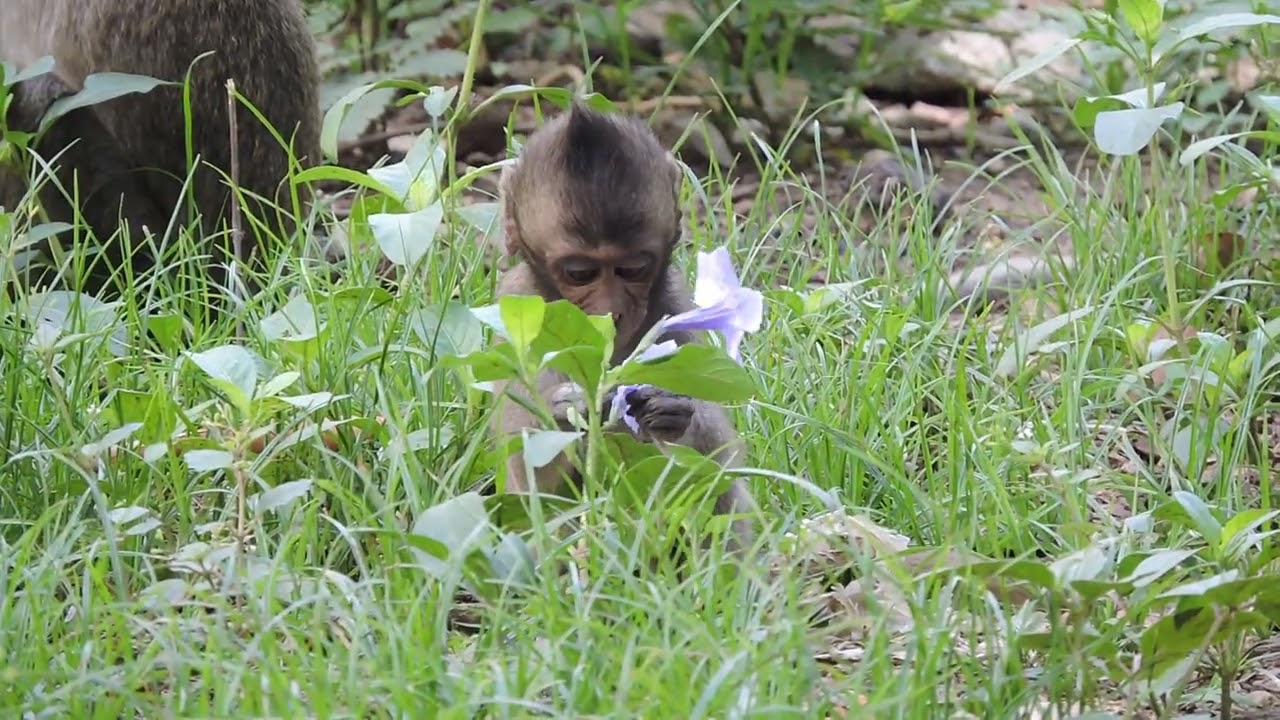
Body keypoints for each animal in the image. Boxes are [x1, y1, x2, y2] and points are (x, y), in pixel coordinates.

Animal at [490, 103, 759, 557]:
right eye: (579, 273)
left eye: (633, 269)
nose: (610, 313)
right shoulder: (516, 308)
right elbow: (530, 486)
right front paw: (569, 410)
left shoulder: (674, 305)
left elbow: (717, 464)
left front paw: (673, 413)